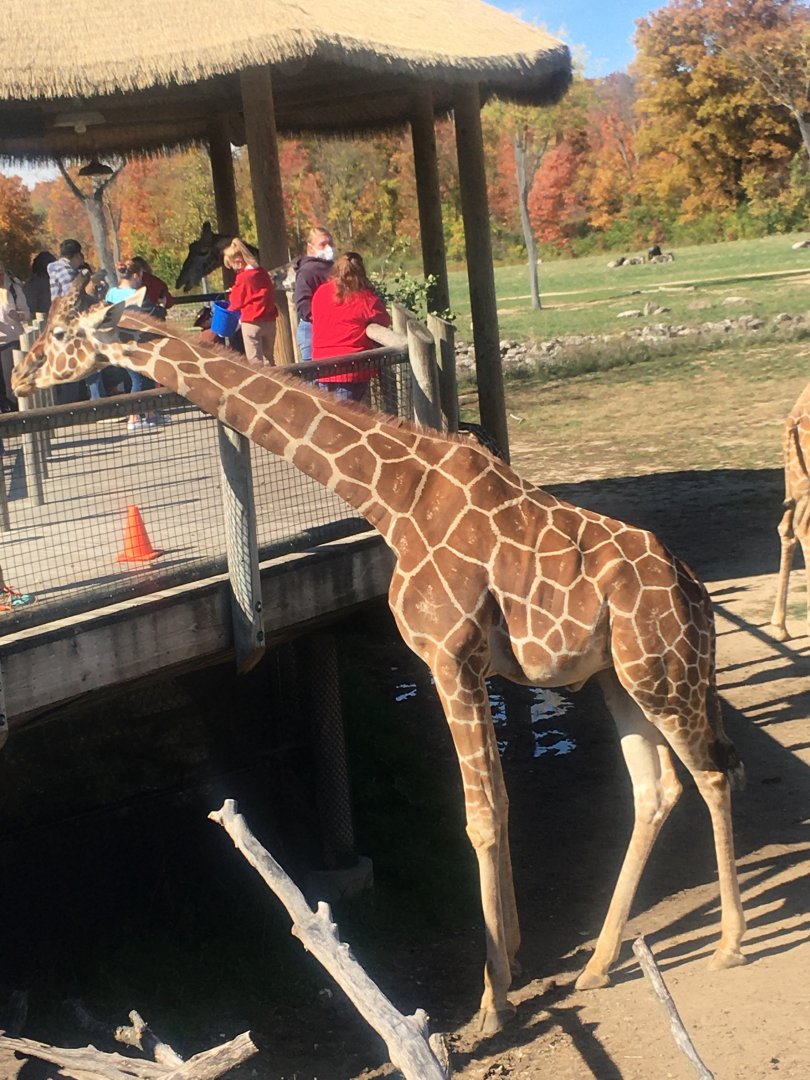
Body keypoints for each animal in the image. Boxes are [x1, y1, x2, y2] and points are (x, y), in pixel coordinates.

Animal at [12, 276, 747, 1034]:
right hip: (619, 678)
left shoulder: (451, 658)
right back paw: (600, 963)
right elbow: (499, 805)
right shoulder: (469, 667)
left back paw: (727, 945)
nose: (20, 377)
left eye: (62, 333)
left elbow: (482, 815)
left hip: (664, 676)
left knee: (713, 774)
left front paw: (491, 1001)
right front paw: (515, 956)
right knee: (655, 789)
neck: (390, 496)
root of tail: (694, 594)